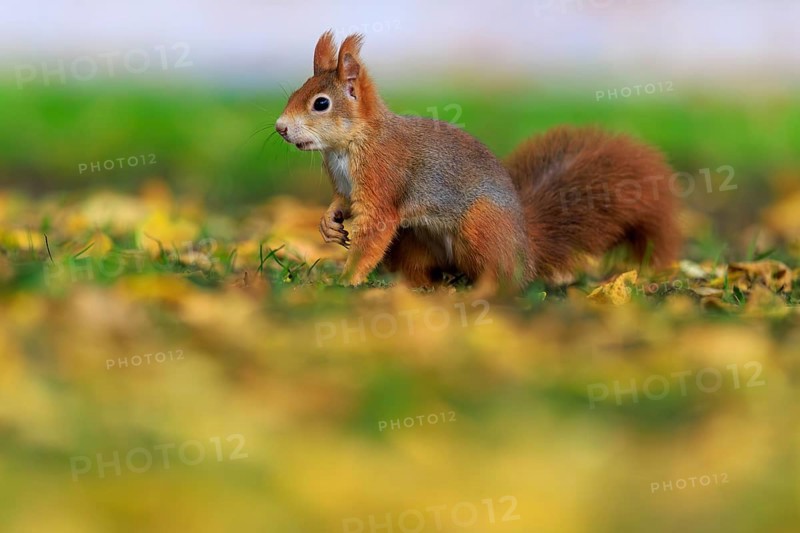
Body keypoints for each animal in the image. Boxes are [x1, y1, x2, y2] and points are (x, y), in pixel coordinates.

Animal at [275, 32, 681, 290]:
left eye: (321, 103)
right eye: (295, 93)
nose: (280, 128)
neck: (347, 147)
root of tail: (526, 251)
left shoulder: (383, 181)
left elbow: (374, 230)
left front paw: (347, 279)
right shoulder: (345, 185)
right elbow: (341, 202)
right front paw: (329, 224)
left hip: (480, 225)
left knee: (501, 276)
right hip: (416, 241)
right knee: (425, 271)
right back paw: (421, 287)